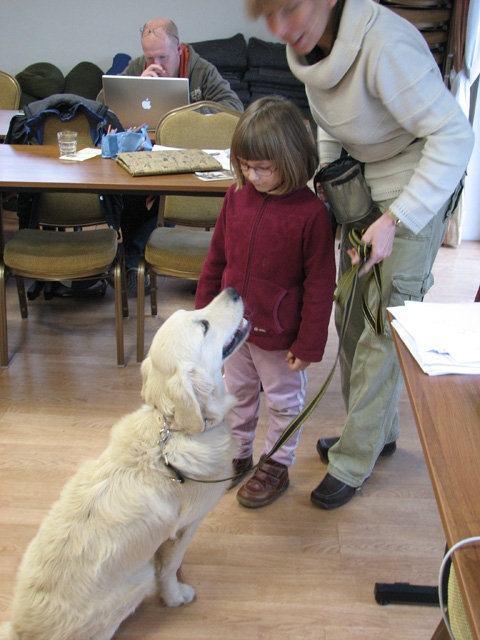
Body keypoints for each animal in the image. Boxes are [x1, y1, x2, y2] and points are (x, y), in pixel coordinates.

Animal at [2, 287, 250, 640]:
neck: (174, 430)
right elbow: (169, 567)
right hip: (137, 582)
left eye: (194, 312)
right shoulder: (187, 525)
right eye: (203, 325)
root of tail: (23, 628)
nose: (233, 290)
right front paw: (176, 595)